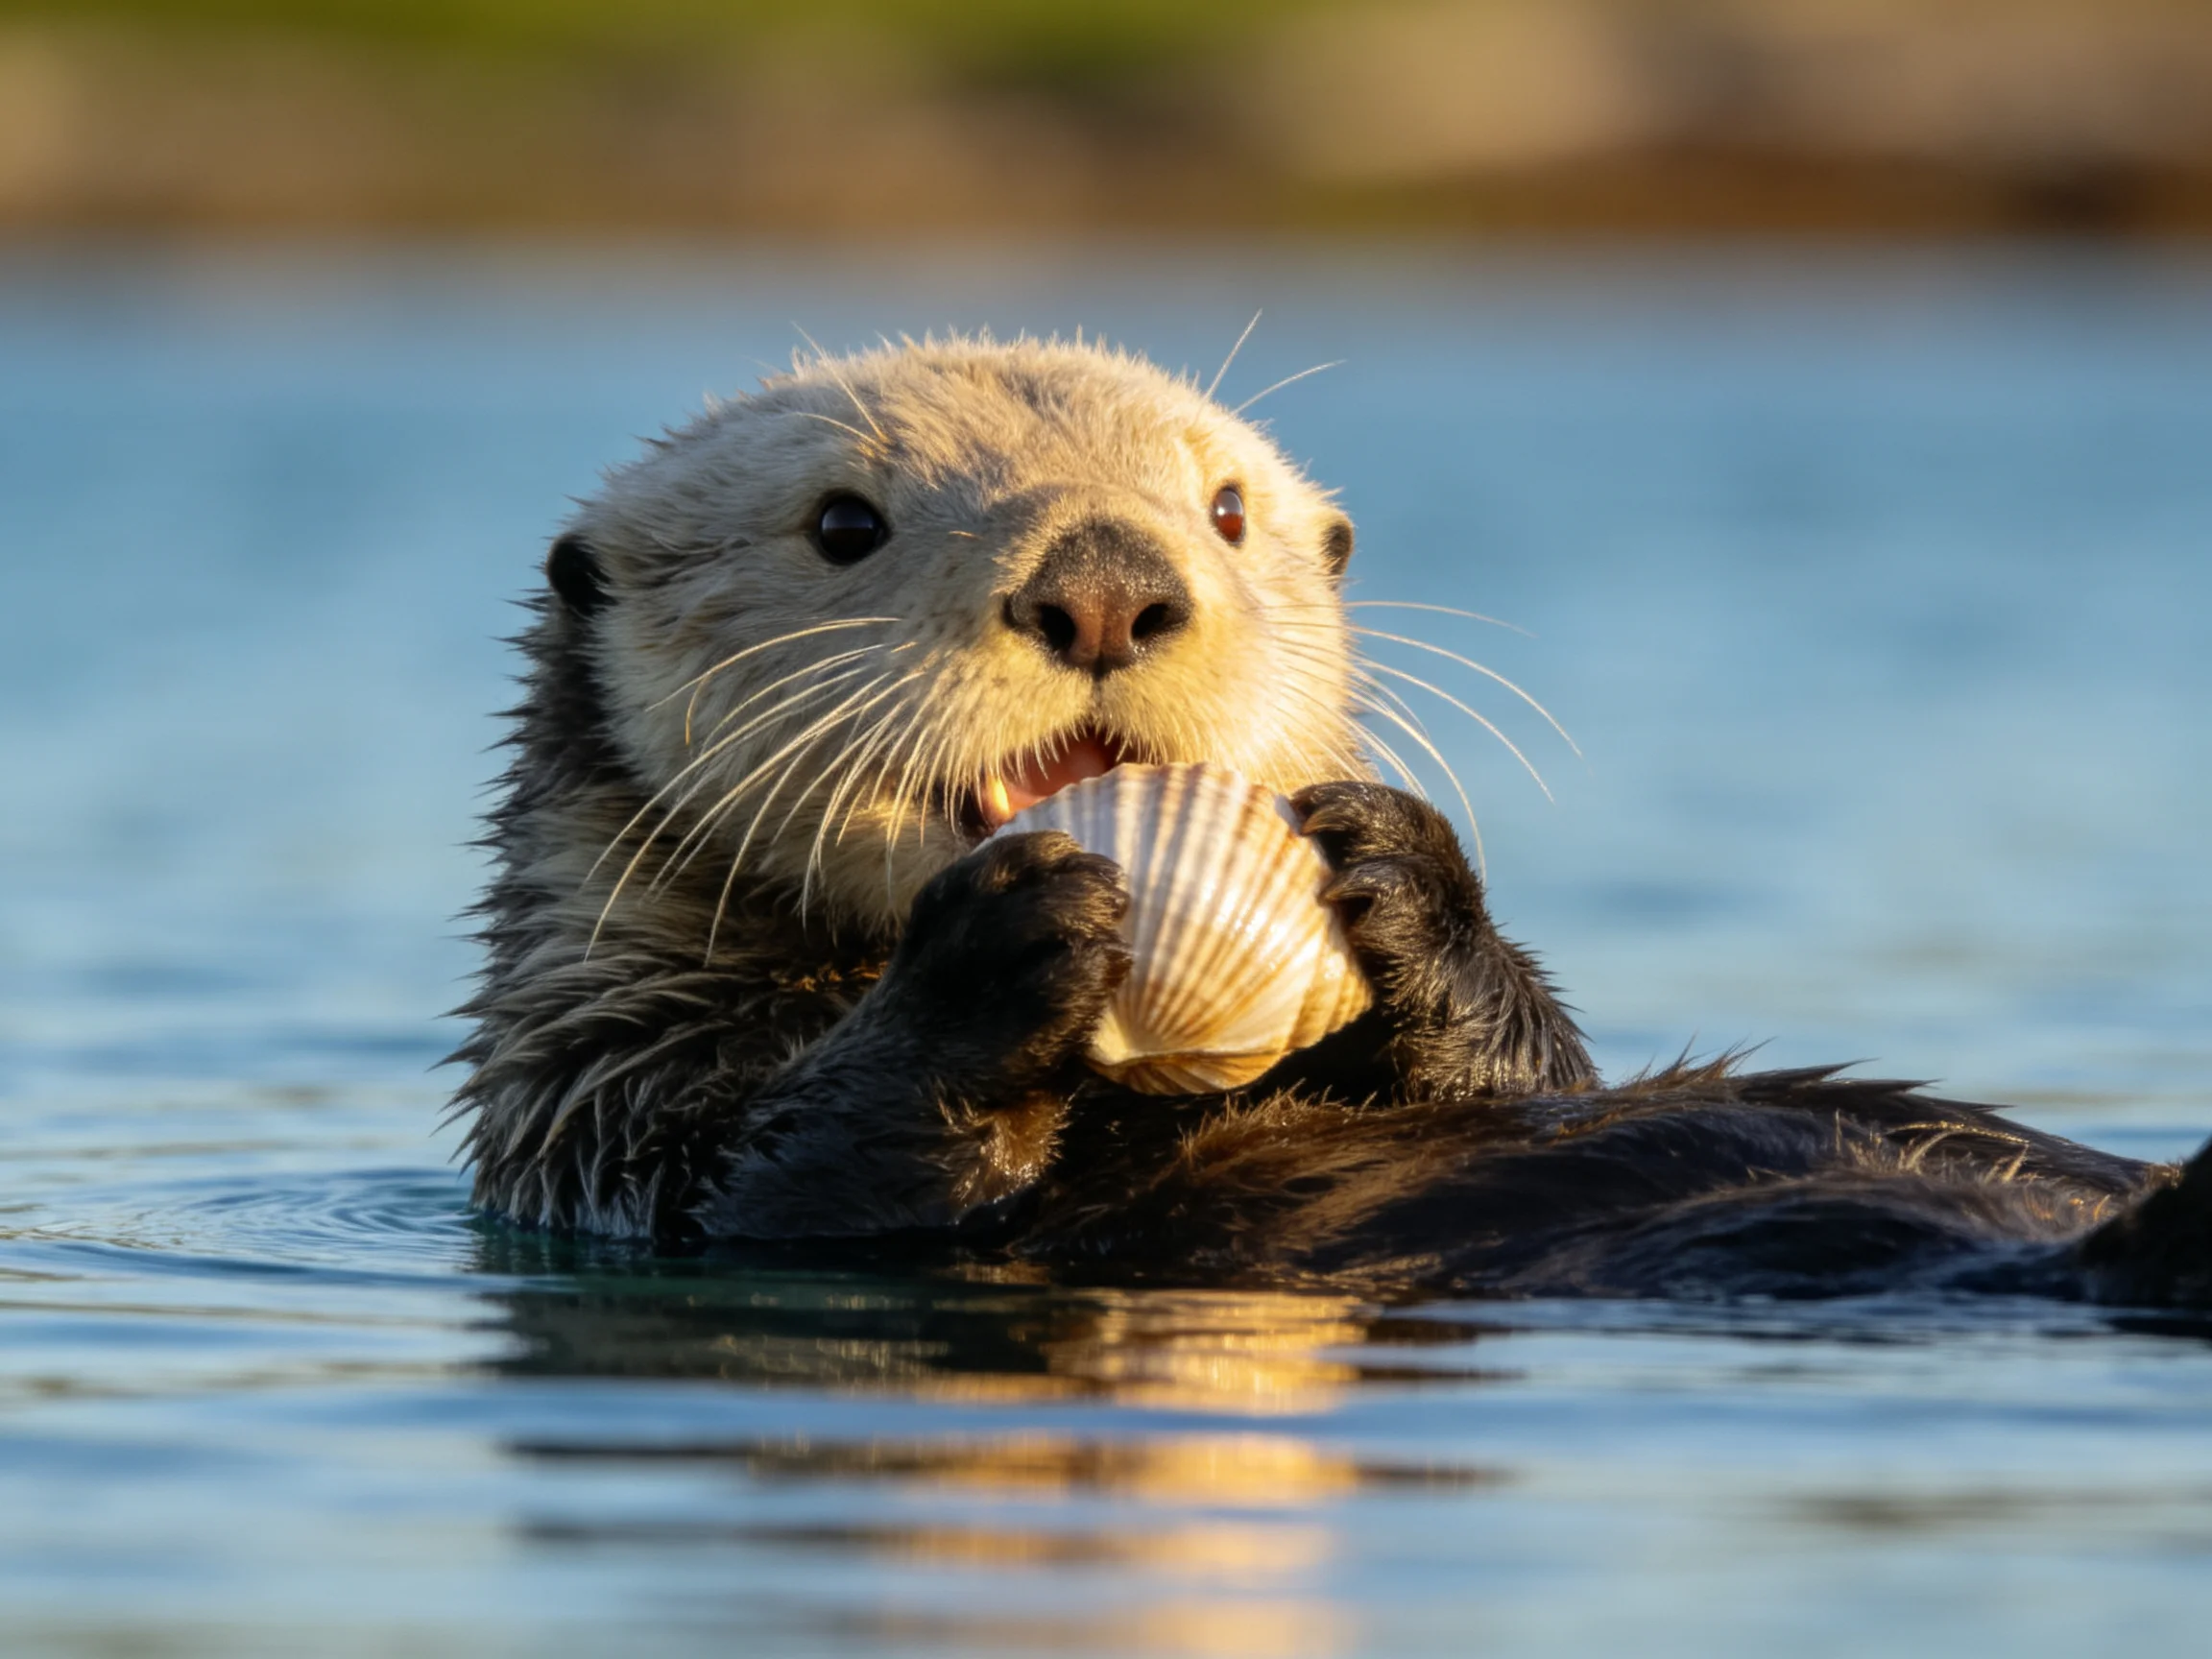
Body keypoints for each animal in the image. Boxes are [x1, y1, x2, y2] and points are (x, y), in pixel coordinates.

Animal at [452, 335, 2212, 1307]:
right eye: (841, 525)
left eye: (1223, 508)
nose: (1106, 579)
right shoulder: (607, 1125)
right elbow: (795, 1185)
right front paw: (1010, 934)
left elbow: (1538, 1072)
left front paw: (1399, 870)